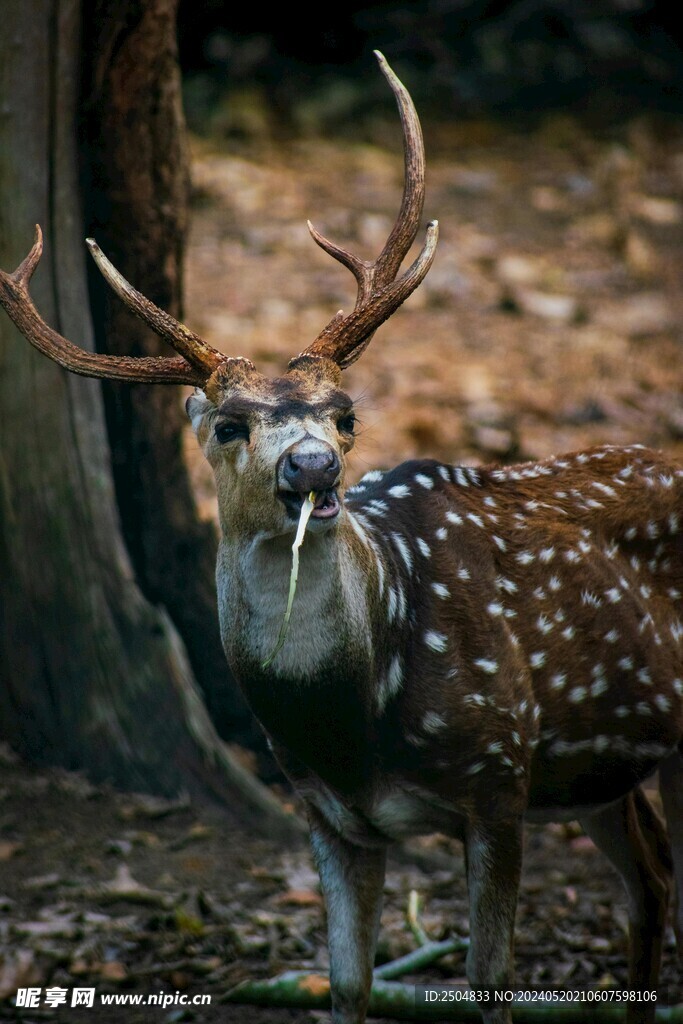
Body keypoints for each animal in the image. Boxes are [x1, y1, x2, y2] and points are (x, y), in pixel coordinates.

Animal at [1, 50, 682, 1024]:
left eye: (345, 412)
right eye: (229, 425)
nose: (314, 467)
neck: (352, 721)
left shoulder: (499, 773)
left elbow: (488, 981)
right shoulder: (325, 813)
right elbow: (347, 981)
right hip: (597, 767)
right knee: (650, 879)